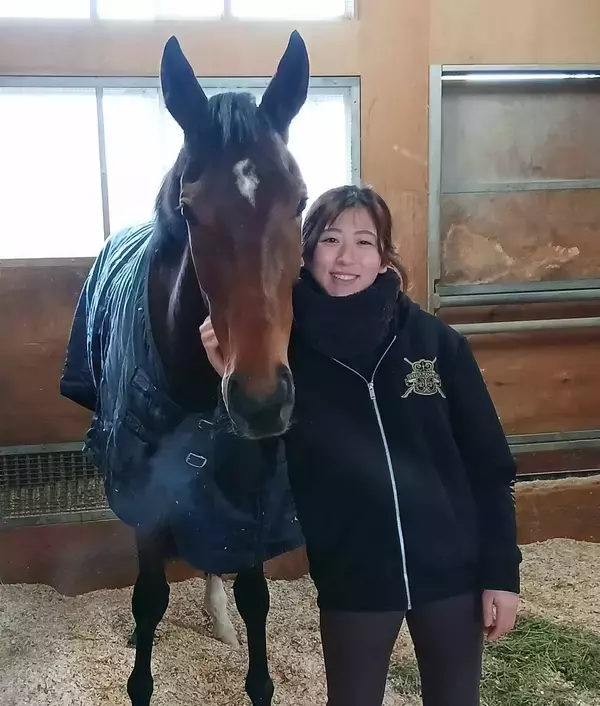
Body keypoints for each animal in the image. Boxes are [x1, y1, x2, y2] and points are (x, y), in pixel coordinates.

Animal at [59, 31, 310, 706]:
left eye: (300, 202)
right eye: (191, 211)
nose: (260, 401)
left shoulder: (251, 493)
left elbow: (255, 596)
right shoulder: (144, 494)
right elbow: (149, 600)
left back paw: (217, 615)